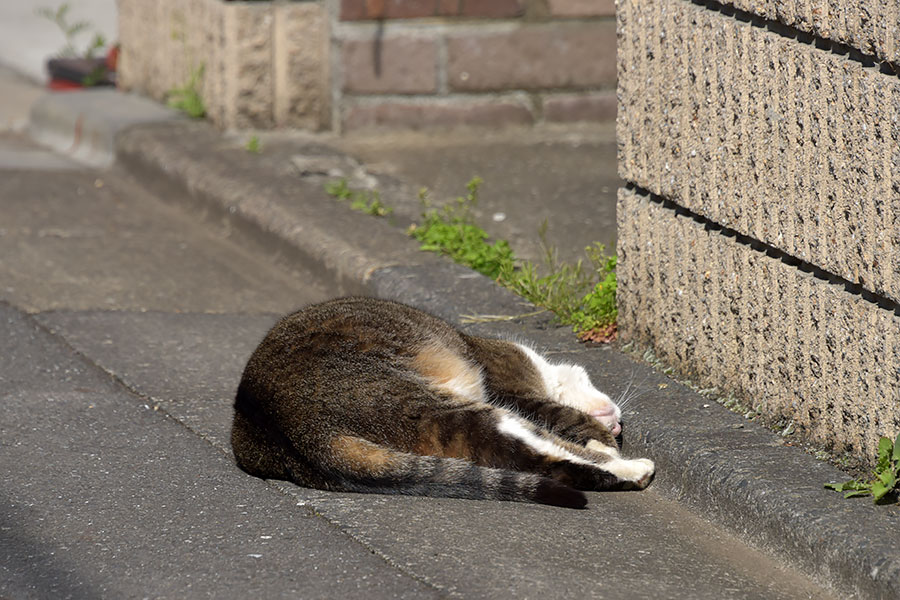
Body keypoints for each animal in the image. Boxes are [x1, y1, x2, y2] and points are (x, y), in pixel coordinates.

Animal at [232, 296, 652, 506]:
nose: (618, 420)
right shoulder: (511, 385)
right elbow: (567, 418)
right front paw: (605, 441)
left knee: (535, 464)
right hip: (440, 408)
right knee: (531, 447)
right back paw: (631, 468)